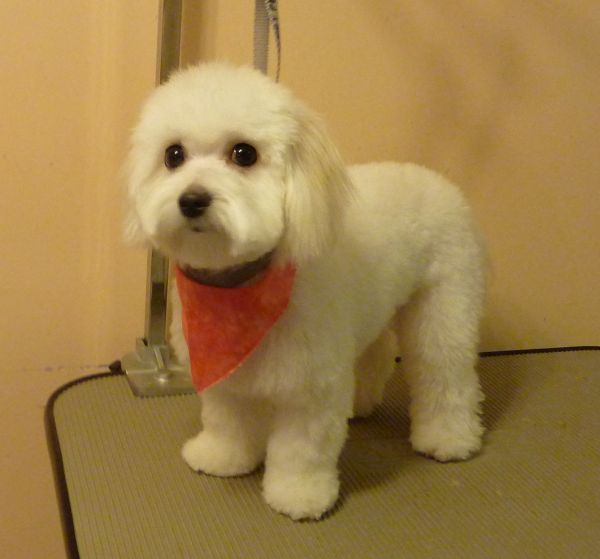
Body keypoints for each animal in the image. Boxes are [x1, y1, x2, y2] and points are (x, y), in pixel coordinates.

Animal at [126, 63, 488, 524]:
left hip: (444, 307)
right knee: (376, 352)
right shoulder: (227, 379)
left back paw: (449, 438)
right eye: (173, 155)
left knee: (445, 374)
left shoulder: (310, 390)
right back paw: (362, 402)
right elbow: (227, 422)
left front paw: (299, 495)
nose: (192, 200)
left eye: (244, 153)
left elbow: (301, 450)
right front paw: (222, 457)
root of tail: (436, 180)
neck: (240, 286)